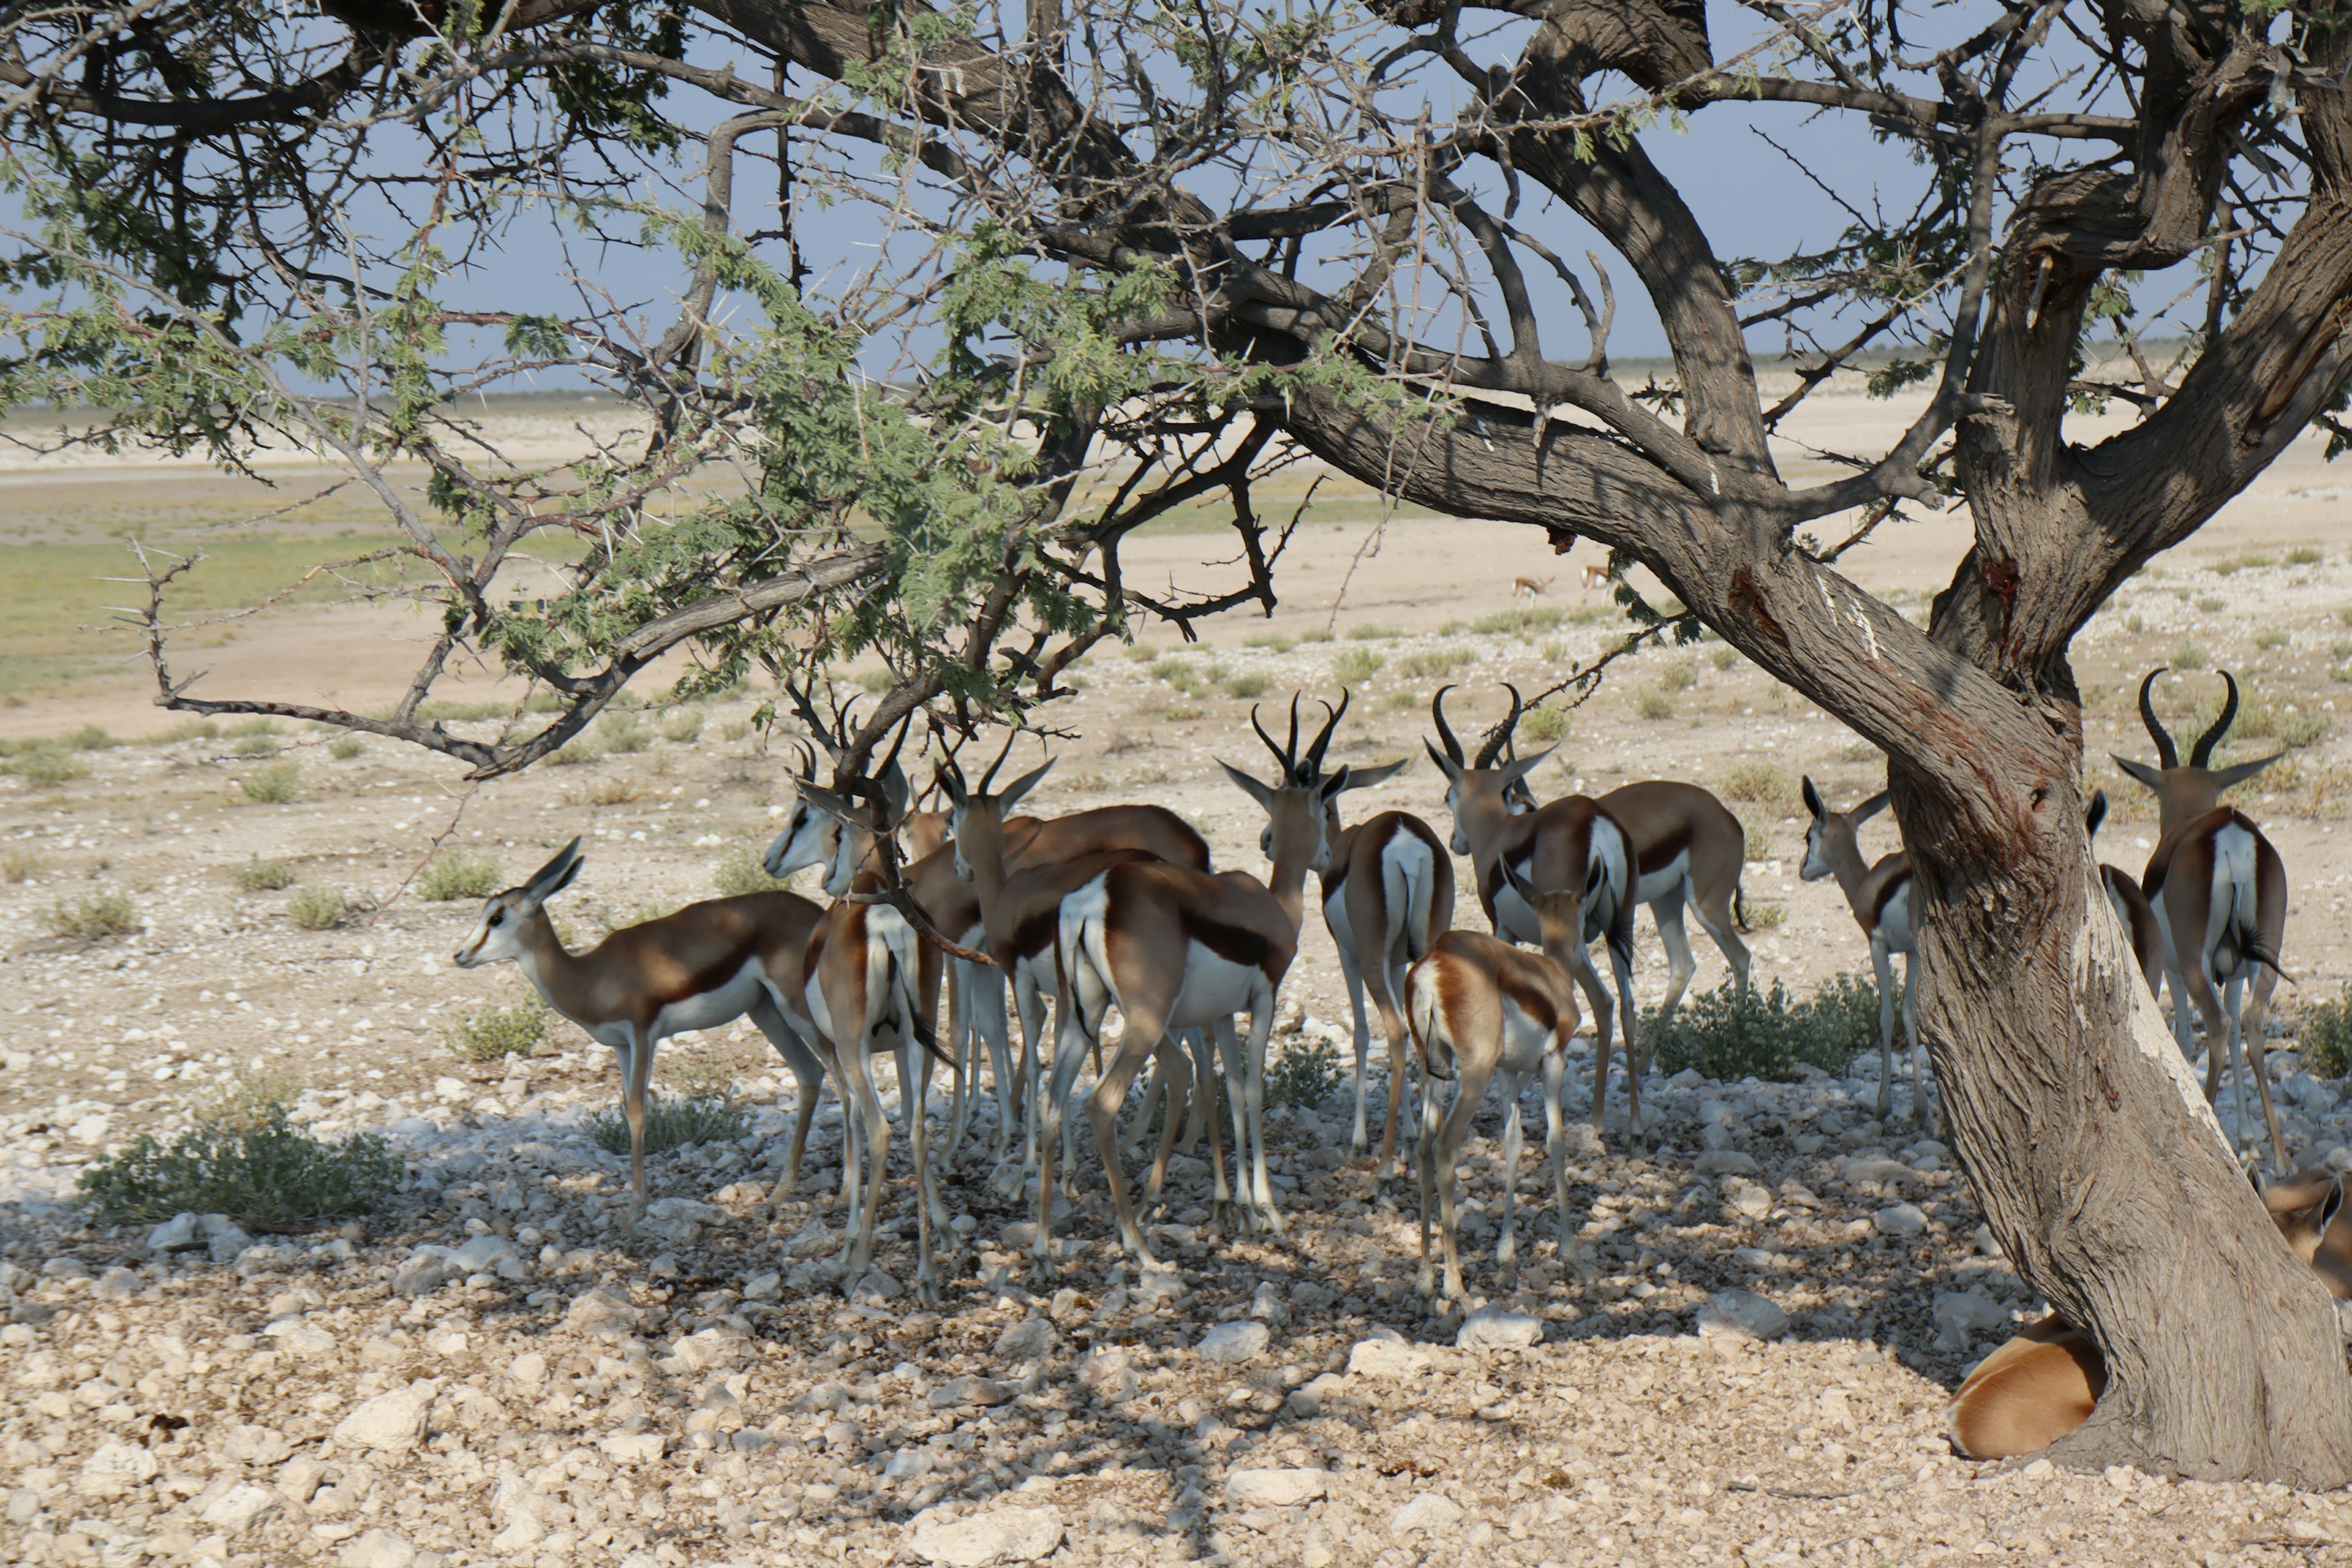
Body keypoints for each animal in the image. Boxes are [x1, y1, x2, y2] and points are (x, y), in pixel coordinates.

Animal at [2117, 668, 2277, 1166]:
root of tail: (2229, 835)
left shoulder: (2171, 970)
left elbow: (2185, 1039)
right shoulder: (2238, 973)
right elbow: (2238, 1026)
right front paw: (2247, 1138)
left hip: (2193, 966)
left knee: (2219, 1026)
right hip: (2262, 963)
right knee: (2250, 1022)